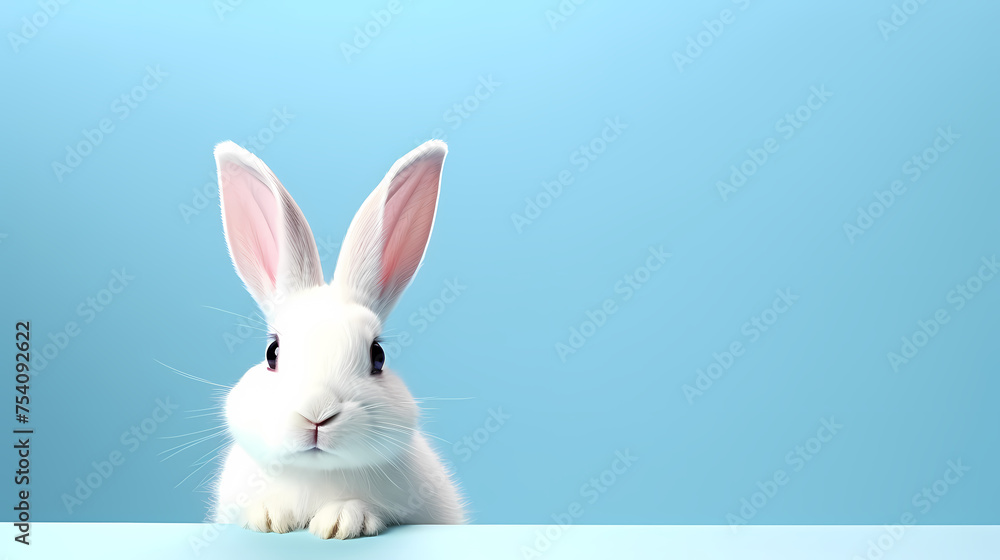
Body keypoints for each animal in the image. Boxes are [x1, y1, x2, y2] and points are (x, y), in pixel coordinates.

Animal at [209, 139, 466, 539]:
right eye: (272, 352)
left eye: (378, 356)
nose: (317, 414)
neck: (316, 474)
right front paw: (269, 516)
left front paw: (340, 520)